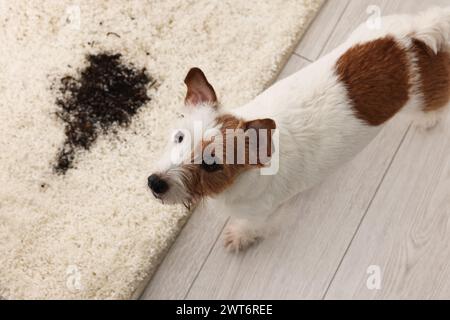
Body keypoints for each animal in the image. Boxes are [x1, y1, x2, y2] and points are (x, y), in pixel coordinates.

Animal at [149, 8, 450, 252]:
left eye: (211, 164)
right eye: (179, 137)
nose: (155, 183)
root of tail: (414, 36)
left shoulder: (262, 213)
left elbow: (251, 225)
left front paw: (239, 235)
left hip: (423, 99)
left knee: (434, 106)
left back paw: (426, 120)